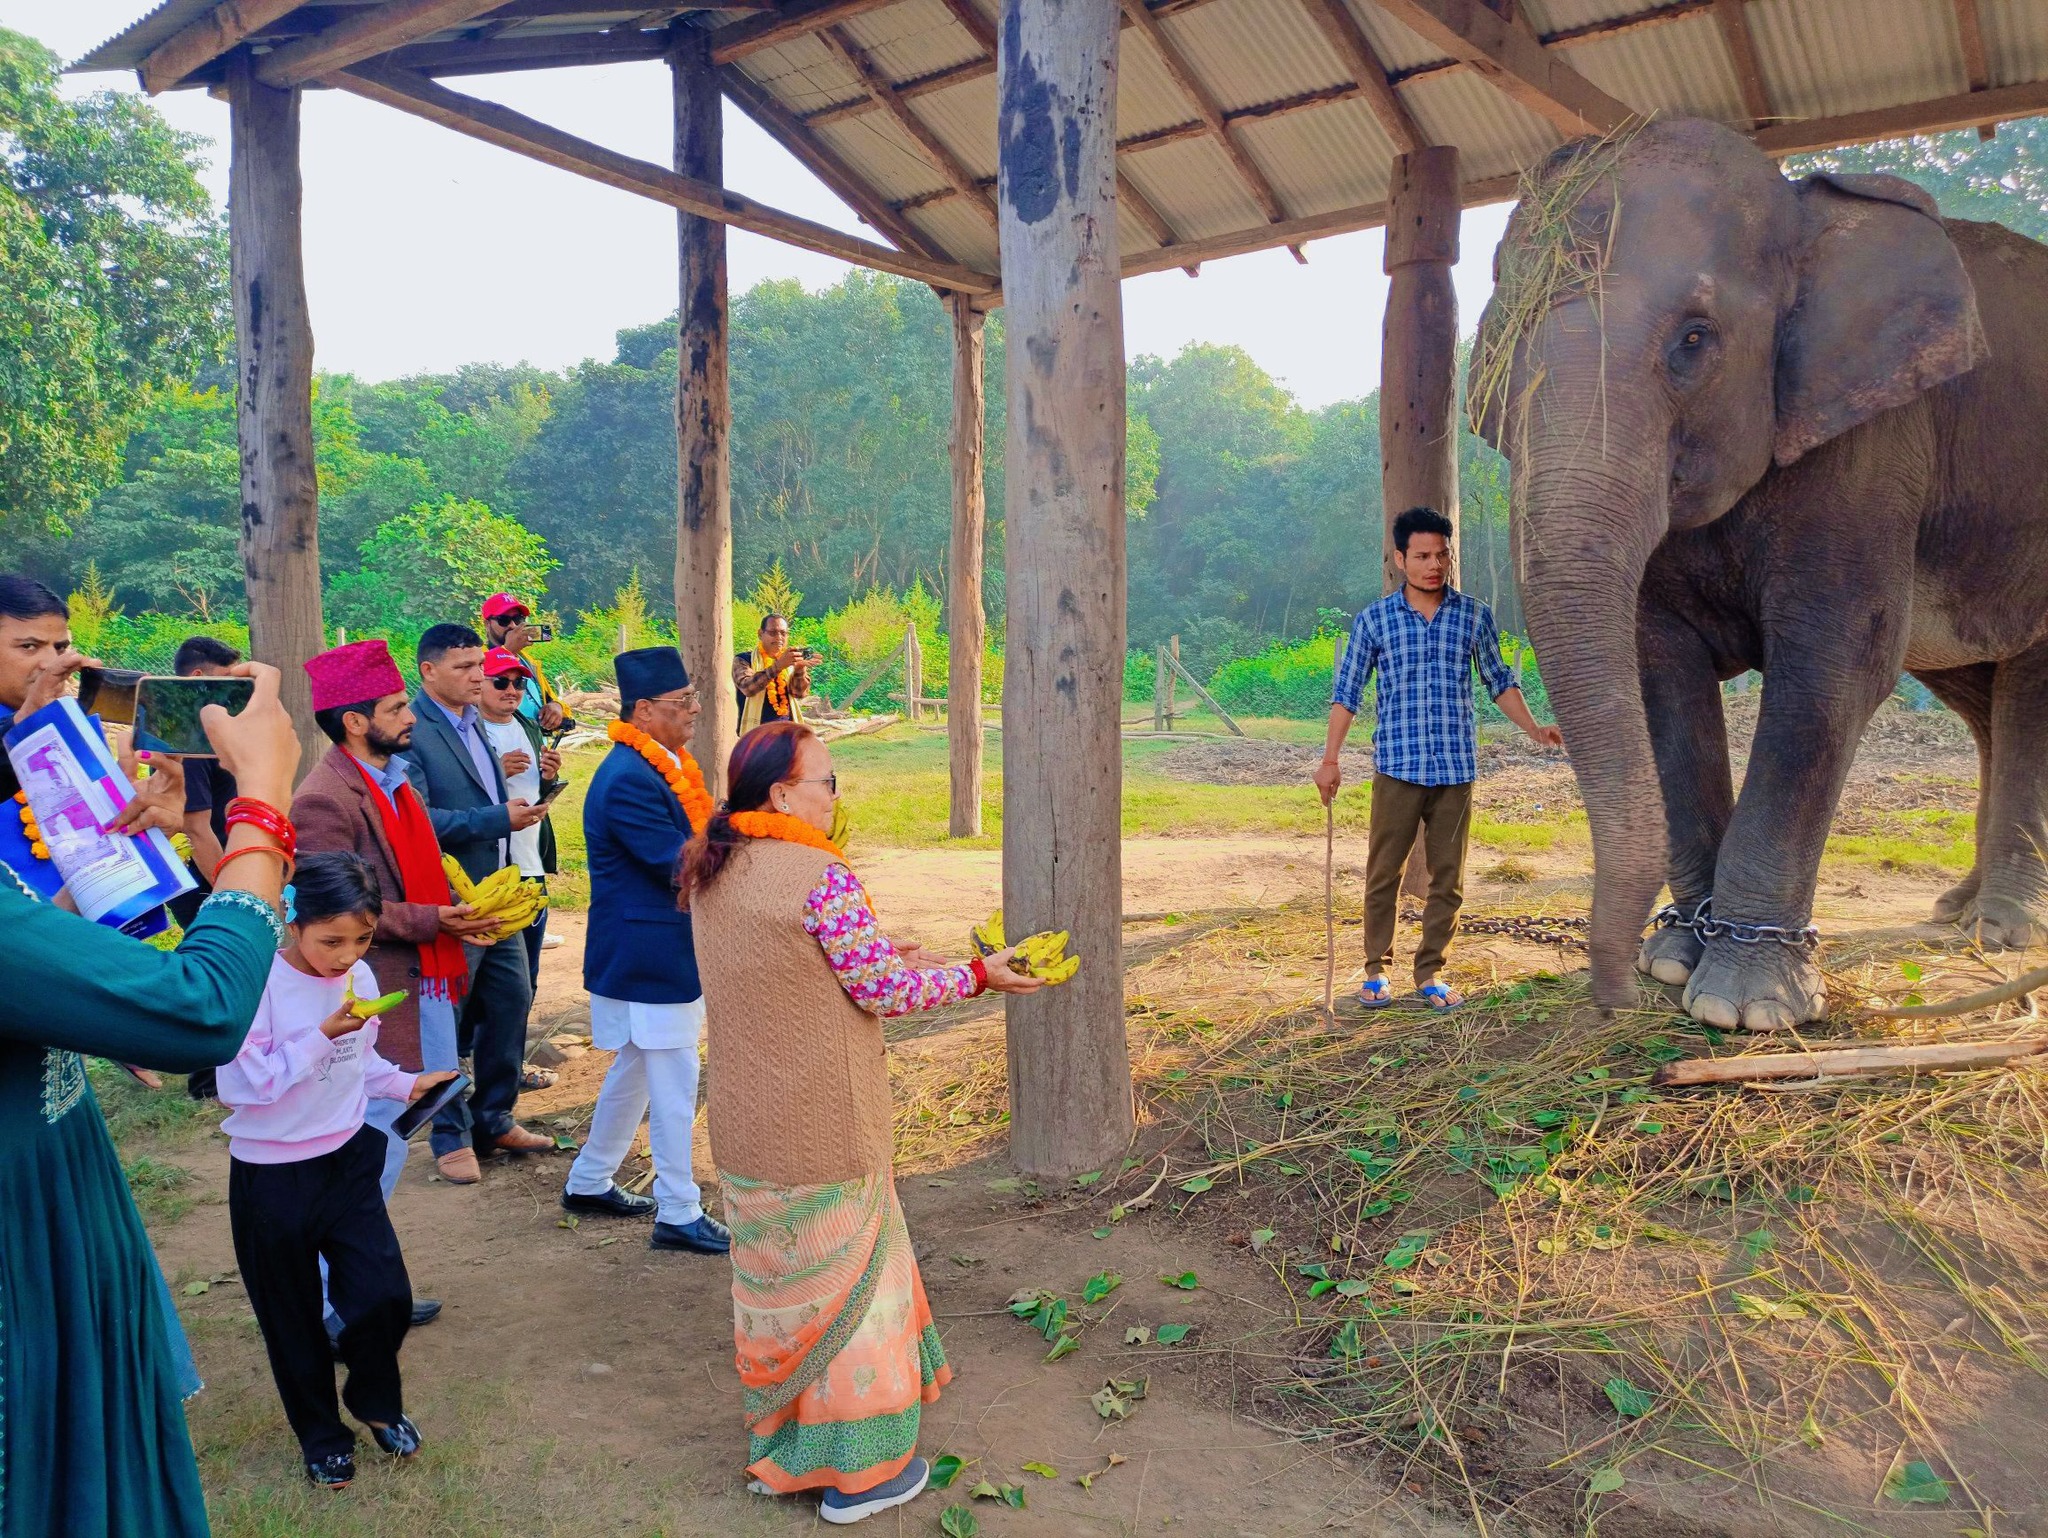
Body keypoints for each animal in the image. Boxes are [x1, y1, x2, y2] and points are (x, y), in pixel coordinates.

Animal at [1482, 120, 2048, 1028]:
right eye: (1500, 353)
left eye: (1694, 339)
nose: (1612, 997)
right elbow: (1656, 669)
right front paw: (1674, 961)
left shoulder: (1873, 443)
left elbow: (1834, 666)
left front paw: (1742, 1006)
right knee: (1978, 694)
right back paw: (1958, 909)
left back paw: (2002, 929)